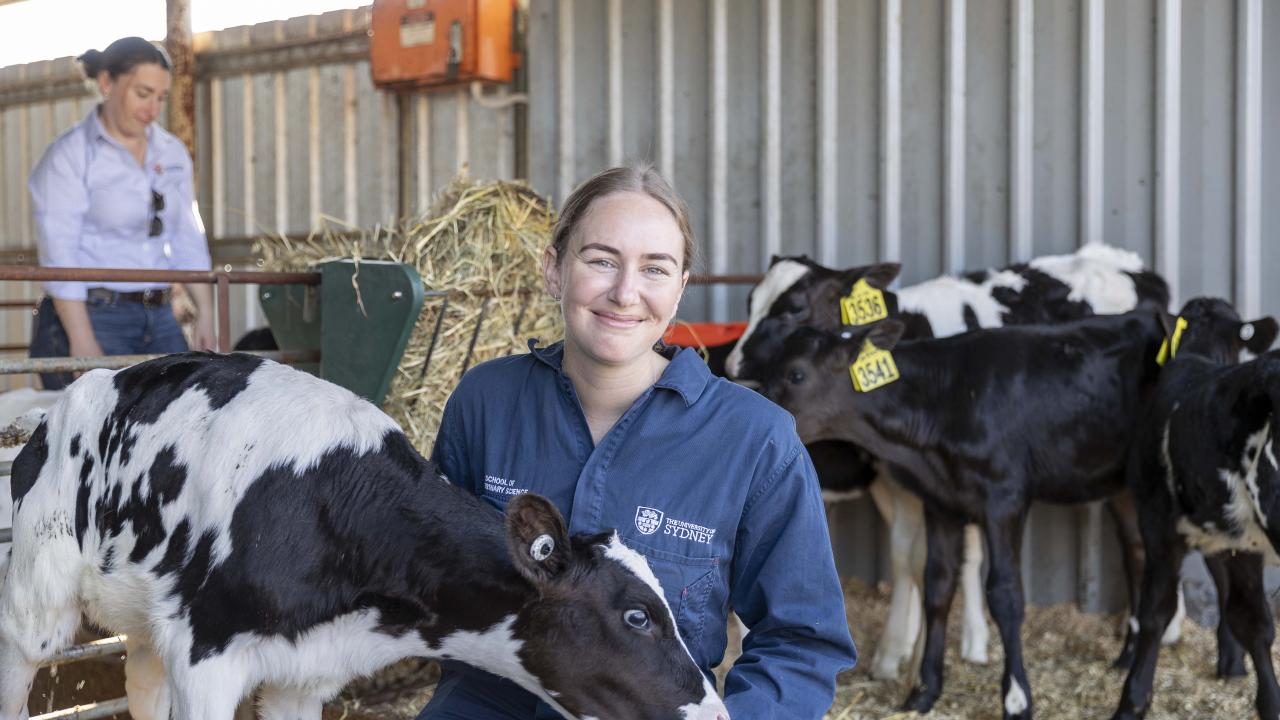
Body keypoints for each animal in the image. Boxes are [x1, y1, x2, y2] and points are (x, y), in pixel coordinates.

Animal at [0, 351, 727, 717]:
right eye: (637, 617)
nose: (715, 715)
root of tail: (77, 390)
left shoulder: (303, 676)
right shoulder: (205, 656)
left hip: (146, 619)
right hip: (36, 606)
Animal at [721, 242, 1172, 676]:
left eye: (794, 307)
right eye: (751, 301)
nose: (733, 366)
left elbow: (948, 557)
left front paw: (946, 646)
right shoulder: (894, 473)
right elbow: (906, 554)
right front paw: (898, 649)